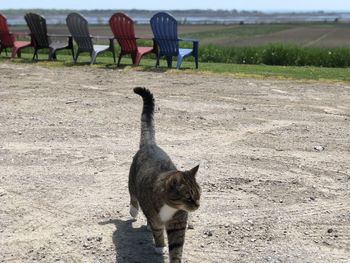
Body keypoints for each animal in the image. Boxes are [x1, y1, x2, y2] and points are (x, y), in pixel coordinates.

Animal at [129, 87, 201, 262]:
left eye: (199, 195)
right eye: (188, 196)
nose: (197, 205)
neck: (170, 206)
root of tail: (150, 145)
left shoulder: (178, 223)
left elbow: (176, 247)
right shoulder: (155, 216)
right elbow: (157, 231)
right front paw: (160, 246)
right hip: (132, 181)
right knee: (133, 196)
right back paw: (134, 211)